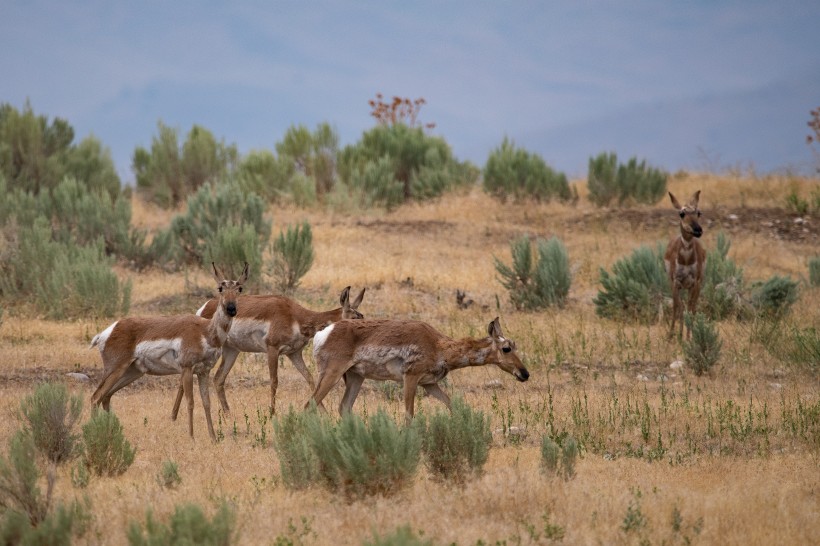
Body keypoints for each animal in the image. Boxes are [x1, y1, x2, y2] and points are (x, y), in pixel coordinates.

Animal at [90, 262, 248, 440]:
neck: (206, 331)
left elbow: (207, 402)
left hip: (132, 372)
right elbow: (190, 402)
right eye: (220, 288)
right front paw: (192, 437)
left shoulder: (203, 372)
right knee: (96, 397)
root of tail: (109, 330)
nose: (231, 309)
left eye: (240, 288)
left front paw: (213, 438)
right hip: (116, 370)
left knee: (106, 397)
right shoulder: (187, 369)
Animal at [184, 284, 366, 412]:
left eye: (362, 317)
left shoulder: (294, 354)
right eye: (354, 318)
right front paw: (272, 413)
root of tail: (206, 306)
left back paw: (228, 413)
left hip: (231, 351)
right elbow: (274, 381)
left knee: (218, 378)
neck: (296, 316)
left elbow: (311, 380)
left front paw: (323, 412)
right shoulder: (272, 350)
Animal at [310, 314, 532, 424]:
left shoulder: (429, 384)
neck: (438, 346)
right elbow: (409, 414)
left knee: (343, 407)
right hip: (332, 373)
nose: (525, 374)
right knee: (310, 404)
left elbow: (452, 405)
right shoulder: (410, 378)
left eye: (515, 345)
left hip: (356, 377)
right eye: (506, 348)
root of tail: (325, 332)